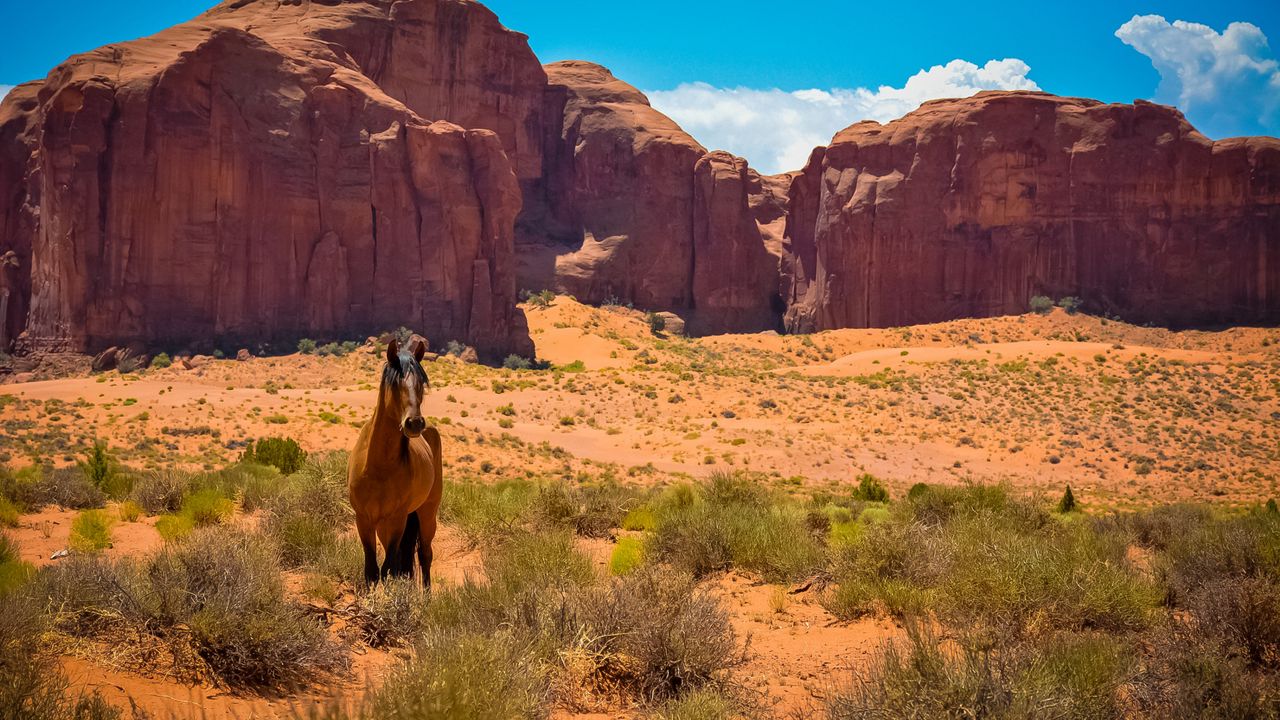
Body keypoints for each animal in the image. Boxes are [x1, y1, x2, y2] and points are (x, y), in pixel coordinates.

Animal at [348, 335, 442, 584]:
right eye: (395, 384)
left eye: (421, 384)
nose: (415, 423)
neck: (378, 467)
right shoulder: (364, 519)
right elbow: (372, 571)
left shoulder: (397, 519)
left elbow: (389, 567)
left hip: (427, 513)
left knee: (425, 554)